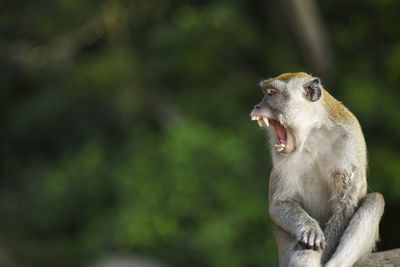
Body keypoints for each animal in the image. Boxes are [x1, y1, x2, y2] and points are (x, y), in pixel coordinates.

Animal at [250, 73, 384, 267]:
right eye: (265, 92)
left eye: (271, 93)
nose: (257, 106)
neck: (311, 132)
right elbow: (280, 203)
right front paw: (309, 228)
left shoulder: (349, 141)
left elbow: (346, 204)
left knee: (375, 201)